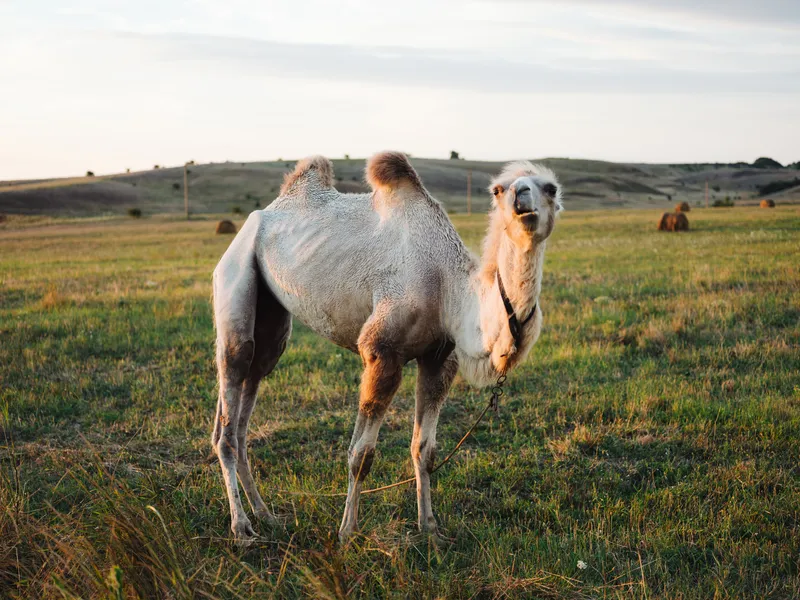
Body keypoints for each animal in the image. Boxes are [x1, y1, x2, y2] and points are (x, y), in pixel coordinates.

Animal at [211, 152, 563, 544]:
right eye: (499, 189)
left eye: (551, 188)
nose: (521, 197)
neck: (448, 287)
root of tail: (255, 219)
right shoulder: (382, 351)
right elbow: (361, 454)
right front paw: (347, 533)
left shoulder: (439, 359)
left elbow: (424, 450)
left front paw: (430, 529)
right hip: (236, 275)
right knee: (233, 388)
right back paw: (242, 528)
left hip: (272, 321)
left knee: (248, 396)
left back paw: (265, 514)